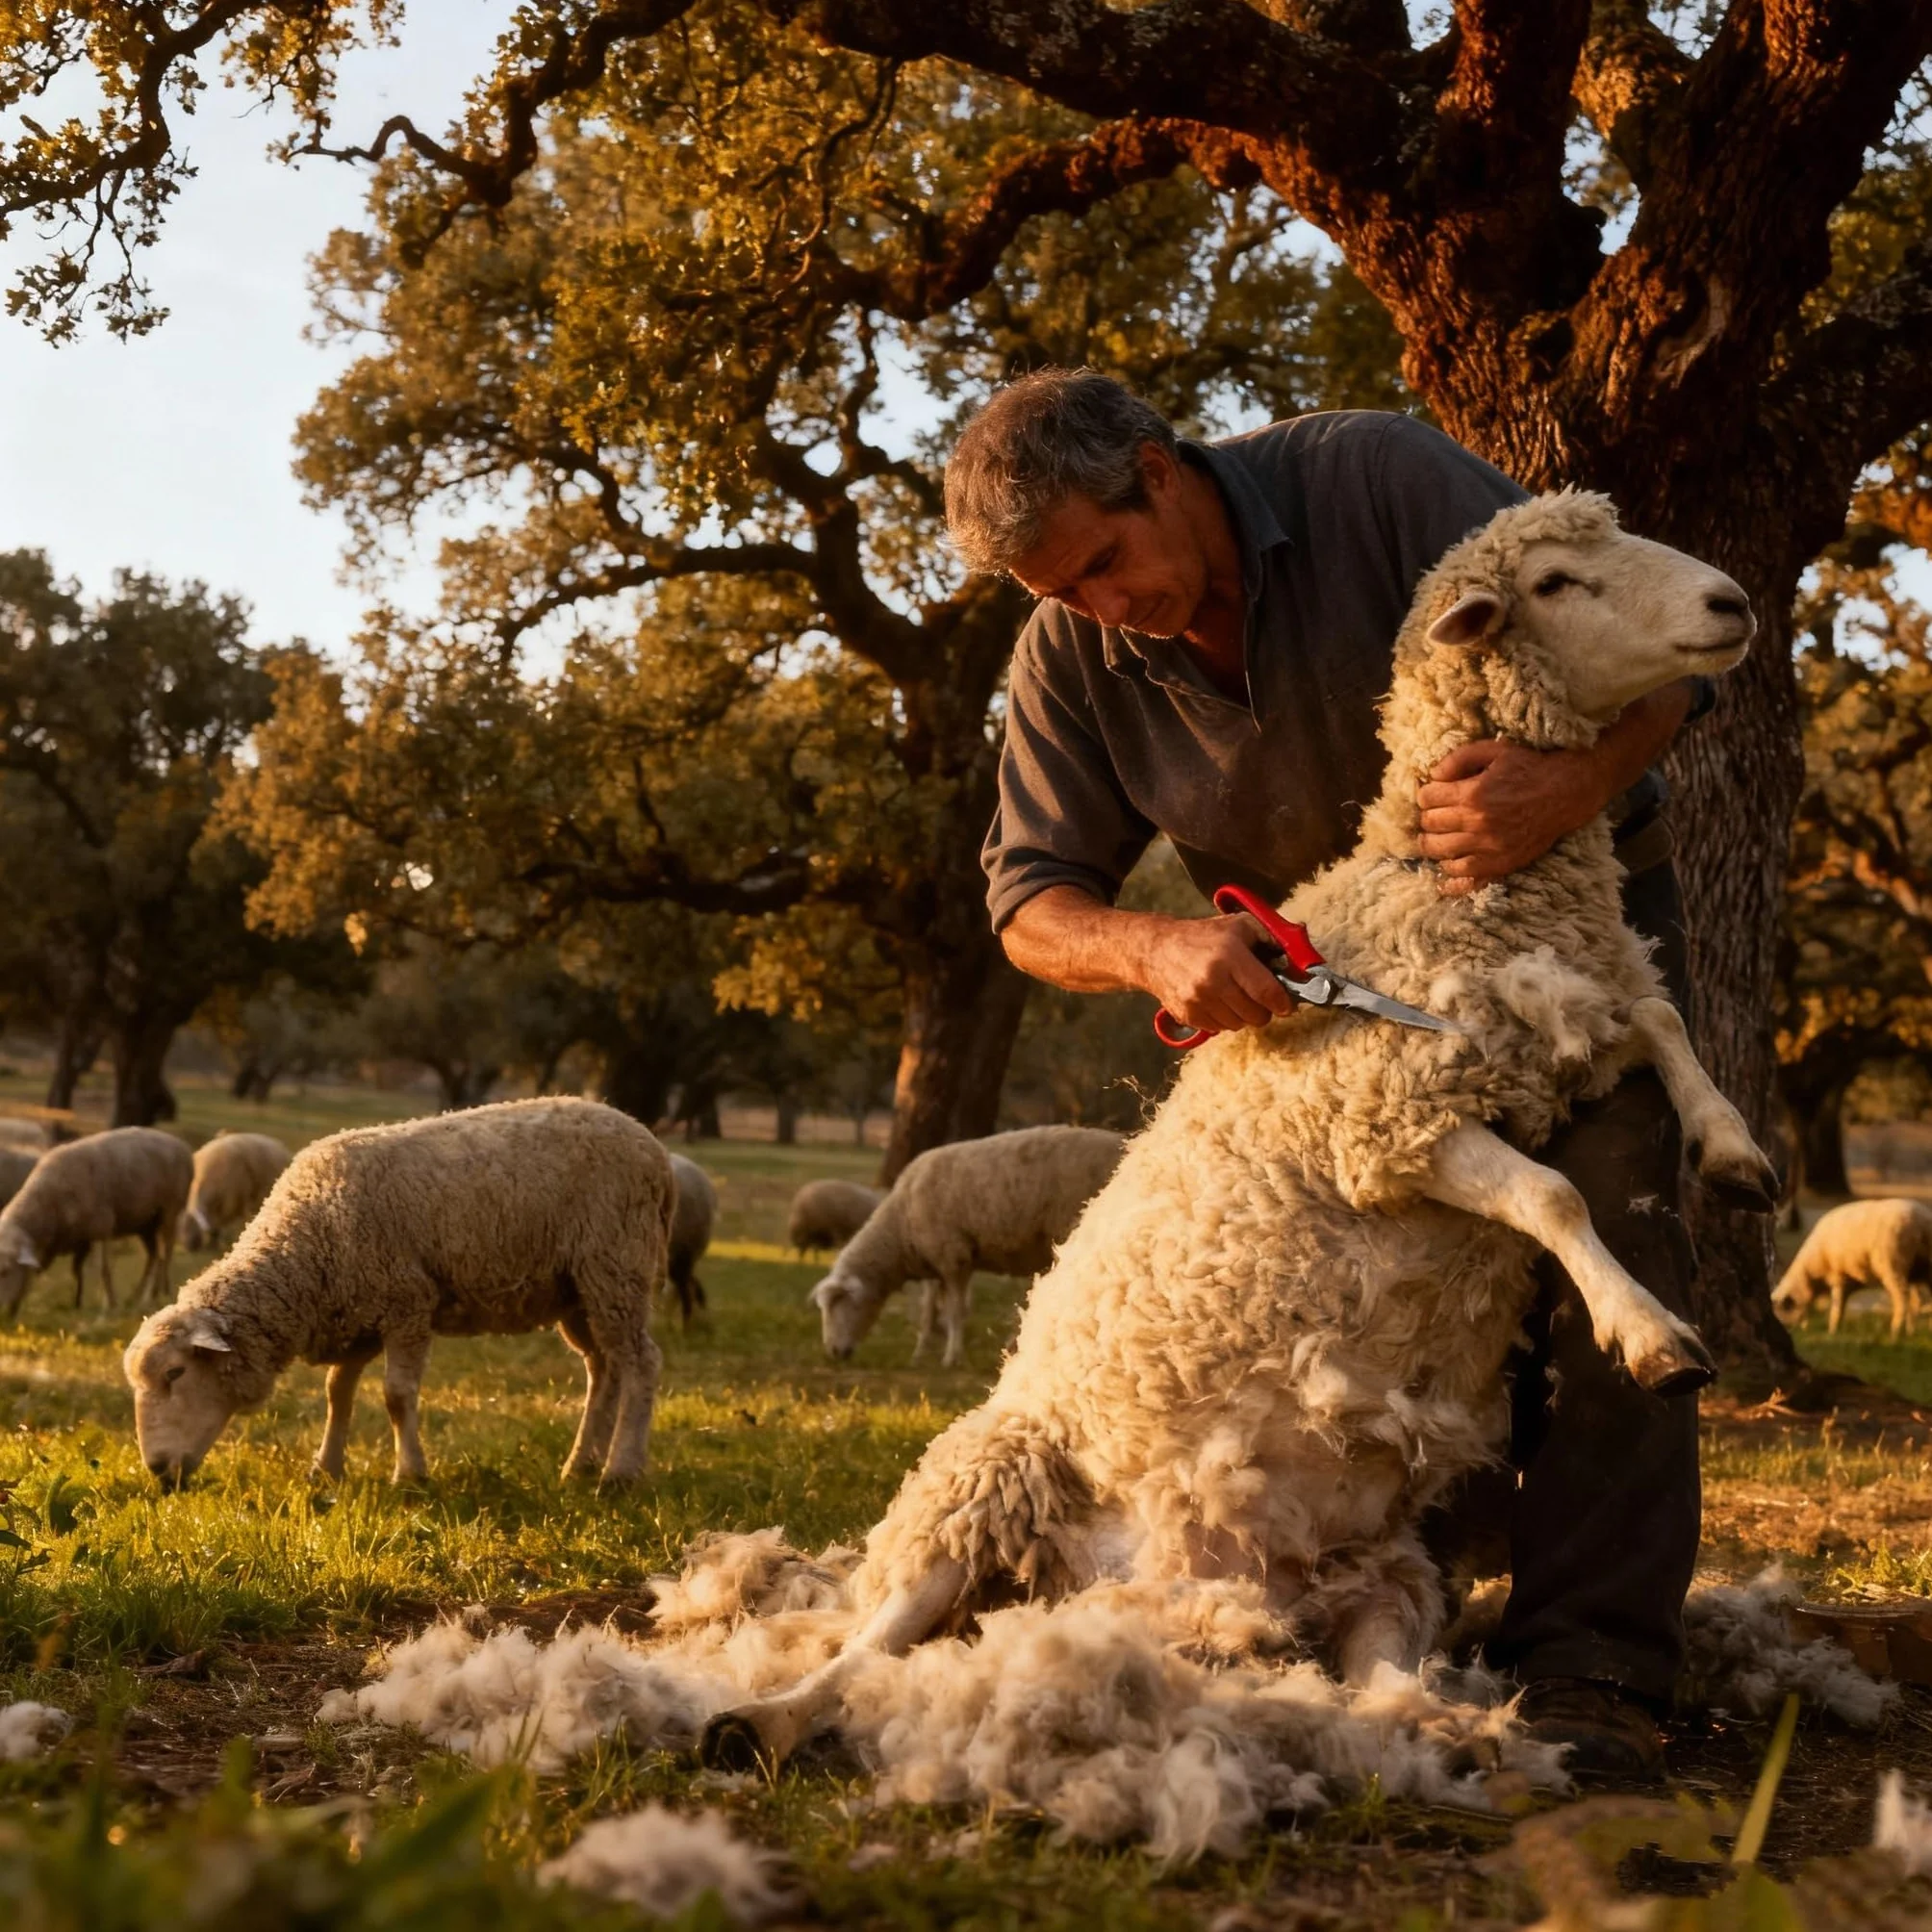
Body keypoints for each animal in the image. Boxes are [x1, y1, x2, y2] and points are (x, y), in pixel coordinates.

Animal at [0, 1127, 194, 1316]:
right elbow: (76, 1270)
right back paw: (137, 1296)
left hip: (170, 1210)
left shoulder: (101, 1228)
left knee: (165, 1254)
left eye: (5, 1271)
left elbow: (103, 1269)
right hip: (145, 1224)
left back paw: (158, 1294)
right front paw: (77, 1303)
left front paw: (110, 1305)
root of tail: (181, 1145)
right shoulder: (80, 1237)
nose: (4, 1313)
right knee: (153, 1256)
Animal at [122, 1097, 673, 1489]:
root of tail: (651, 1145)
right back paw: (580, 1465)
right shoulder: (358, 1314)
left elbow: (396, 1395)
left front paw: (410, 1474)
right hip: (578, 1289)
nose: (157, 1470)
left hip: (615, 1266)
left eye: (175, 1373)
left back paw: (620, 1471)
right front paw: (326, 1468)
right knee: (603, 1368)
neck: (309, 1241)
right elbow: (337, 1393)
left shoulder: (407, 1305)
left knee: (641, 1364)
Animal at [811, 1127, 1125, 1369]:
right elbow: (928, 1312)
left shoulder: (953, 1257)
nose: (833, 1353)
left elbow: (955, 1311)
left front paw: (951, 1358)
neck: (900, 1225)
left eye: (844, 1304)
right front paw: (920, 1354)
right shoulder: (935, 1262)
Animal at [1773, 1197, 1932, 1337]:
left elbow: (1836, 1306)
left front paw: (1832, 1331)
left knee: (1902, 1299)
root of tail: (1922, 1222)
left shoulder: (1838, 1276)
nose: (1789, 1334)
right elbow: (1841, 1306)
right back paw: (1912, 1331)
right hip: (1921, 1269)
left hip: (1894, 1264)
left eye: (1782, 1311)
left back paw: (1896, 1332)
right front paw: (1836, 1330)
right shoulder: (1848, 1281)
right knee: (1918, 1300)